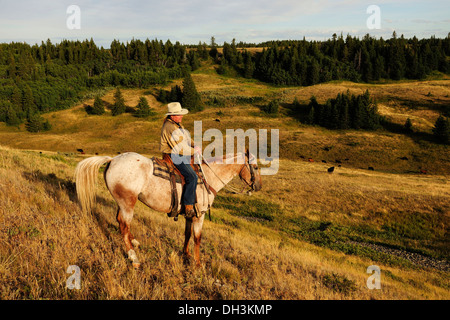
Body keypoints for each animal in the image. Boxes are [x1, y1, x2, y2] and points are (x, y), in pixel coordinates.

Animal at [74, 150, 262, 268]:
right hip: (128, 202)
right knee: (124, 226)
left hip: (123, 202)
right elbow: (197, 238)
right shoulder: (199, 216)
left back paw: (135, 243)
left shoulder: (190, 214)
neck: (207, 177)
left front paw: (186, 255)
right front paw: (197, 264)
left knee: (120, 222)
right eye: (256, 167)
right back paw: (134, 258)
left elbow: (187, 234)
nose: (258, 186)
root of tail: (112, 160)